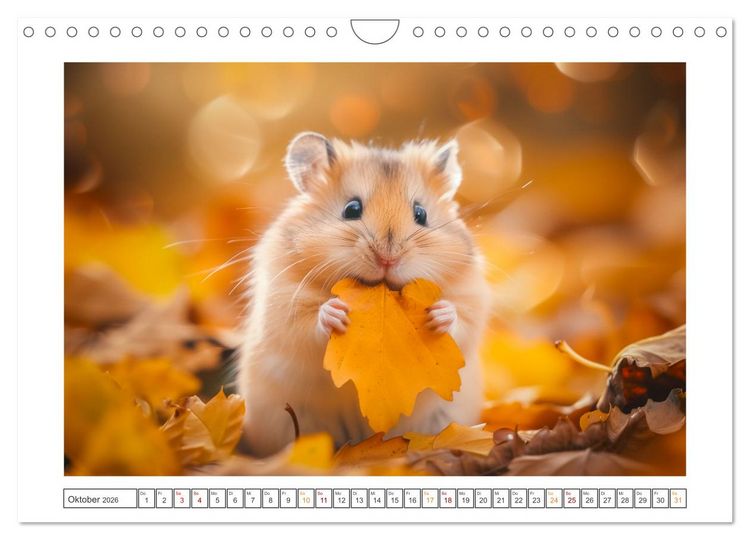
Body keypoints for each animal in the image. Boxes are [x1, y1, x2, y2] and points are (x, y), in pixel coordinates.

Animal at [237, 132, 491, 457]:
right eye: (351, 209)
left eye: (421, 214)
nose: (387, 258)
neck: (380, 289)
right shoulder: (281, 301)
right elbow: (305, 324)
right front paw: (334, 312)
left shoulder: (472, 295)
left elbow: (463, 318)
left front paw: (439, 314)